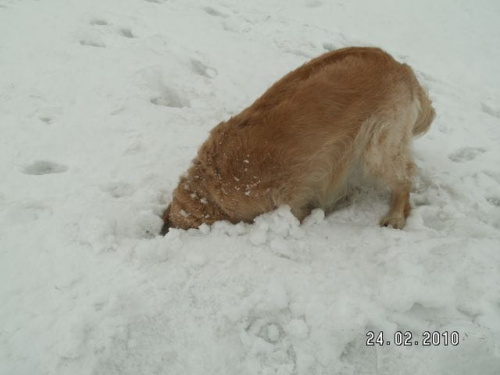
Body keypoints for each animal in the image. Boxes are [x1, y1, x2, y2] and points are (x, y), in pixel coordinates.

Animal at [161, 46, 434, 235]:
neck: (208, 190)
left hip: (376, 144)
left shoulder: (288, 206)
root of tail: (400, 66)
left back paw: (395, 216)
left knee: (405, 176)